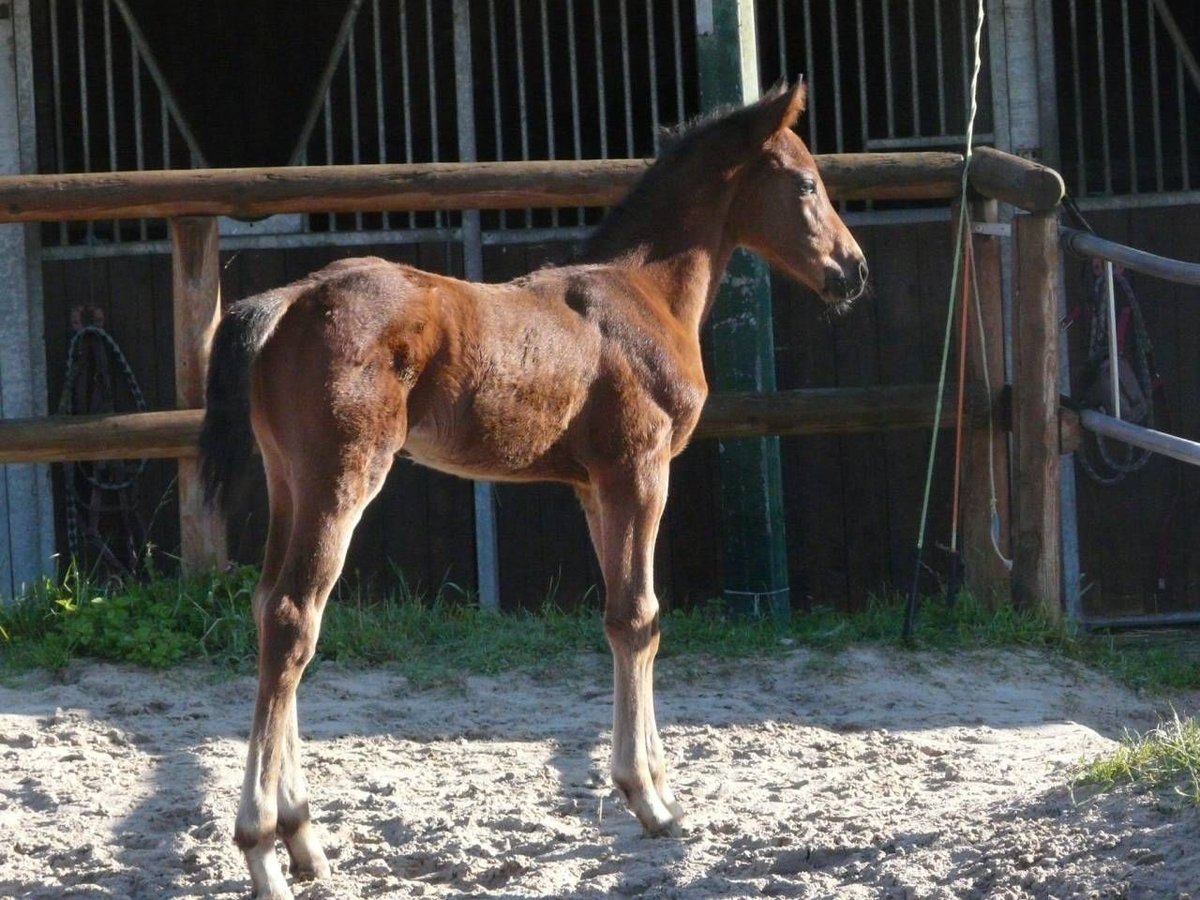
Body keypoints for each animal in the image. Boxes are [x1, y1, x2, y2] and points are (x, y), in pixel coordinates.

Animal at [201, 81, 868, 897]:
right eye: (805, 184)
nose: (852, 270)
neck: (644, 291)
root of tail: (291, 298)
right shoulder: (640, 470)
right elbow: (640, 617)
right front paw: (652, 800)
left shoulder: (593, 487)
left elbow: (623, 619)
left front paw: (657, 787)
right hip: (341, 478)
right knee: (297, 617)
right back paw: (263, 849)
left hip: (289, 481)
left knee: (270, 607)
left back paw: (303, 839)